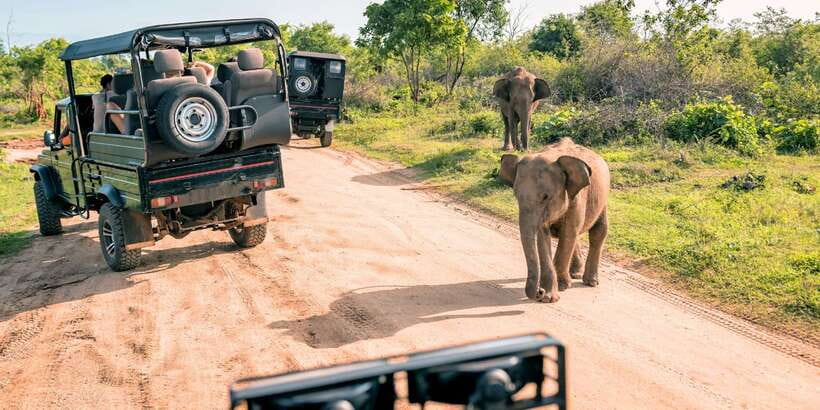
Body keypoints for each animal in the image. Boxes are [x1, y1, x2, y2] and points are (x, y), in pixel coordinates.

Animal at [499, 138, 610, 303]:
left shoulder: (577, 198)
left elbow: (568, 233)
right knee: (576, 235)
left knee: (598, 231)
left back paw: (590, 282)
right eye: (516, 195)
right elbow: (543, 237)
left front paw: (561, 287)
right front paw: (549, 296)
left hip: (603, 199)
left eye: (545, 197)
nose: (539, 291)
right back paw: (575, 274)